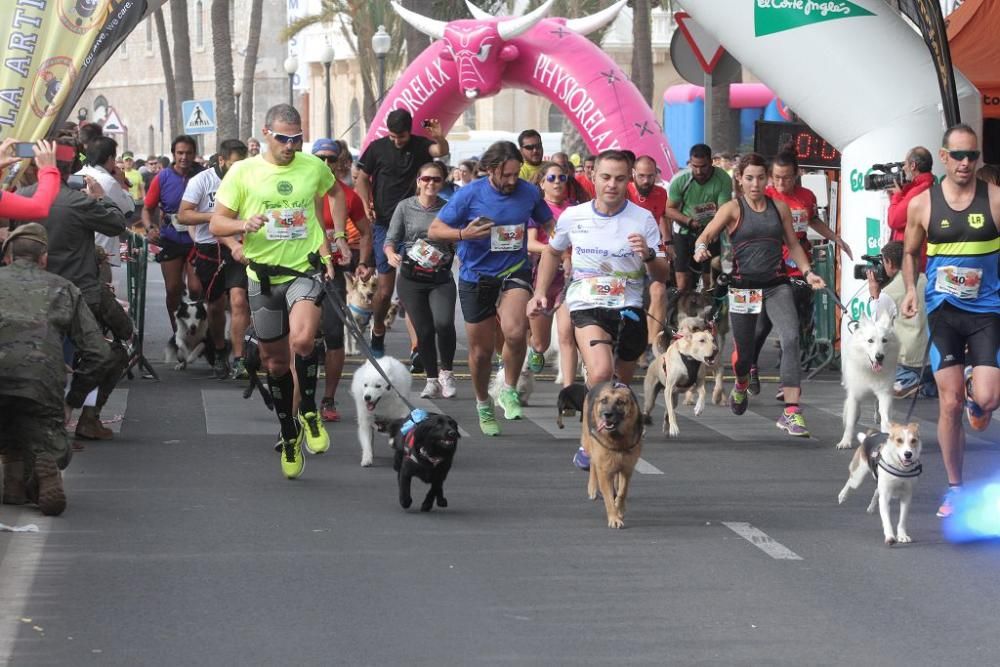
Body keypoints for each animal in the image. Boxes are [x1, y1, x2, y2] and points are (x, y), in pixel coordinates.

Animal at [584, 384, 644, 528]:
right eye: (604, 401)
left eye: (620, 402)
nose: (607, 414)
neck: (617, 438)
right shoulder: (604, 471)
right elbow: (609, 498)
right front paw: (614, 518)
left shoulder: (627, 469)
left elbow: (623, 491)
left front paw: (620, 509)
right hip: (588, 444)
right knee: (593, 463)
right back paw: (592, 488)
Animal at [832, 306, 904, 452]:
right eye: (870, 340)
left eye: (884, 340)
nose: (879, 357)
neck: (870, 370)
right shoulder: (854, 396)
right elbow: (850, 422)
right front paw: (845, 442)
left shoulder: (884, 394)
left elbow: (885, 417)